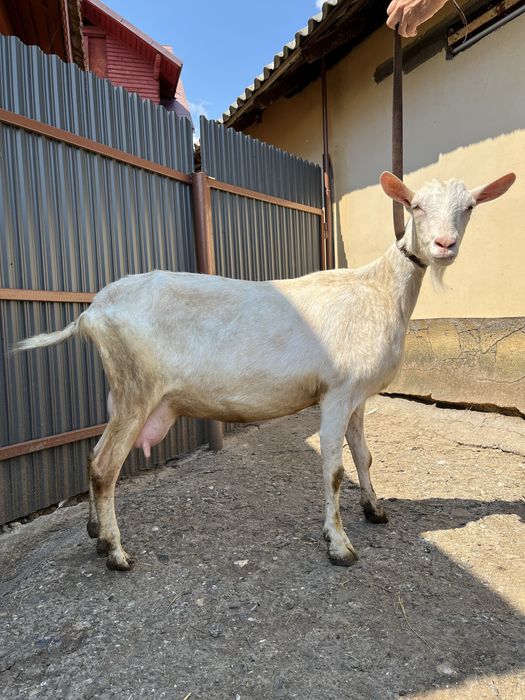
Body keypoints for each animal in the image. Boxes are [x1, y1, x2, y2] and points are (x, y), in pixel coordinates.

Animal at [14, 171, 515, 570]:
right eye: (415, 205)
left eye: (469, 207)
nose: (444, 245)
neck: (378, 290)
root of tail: (92, 311)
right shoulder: (337, 392)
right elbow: (335, 469)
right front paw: (339, 545)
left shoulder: (357, 395)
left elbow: (363, 455)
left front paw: (374, 510)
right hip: (138, 389)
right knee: (105, 467)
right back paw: (118, 554)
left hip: (119, 393)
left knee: (92, 454)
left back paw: (96, 535)